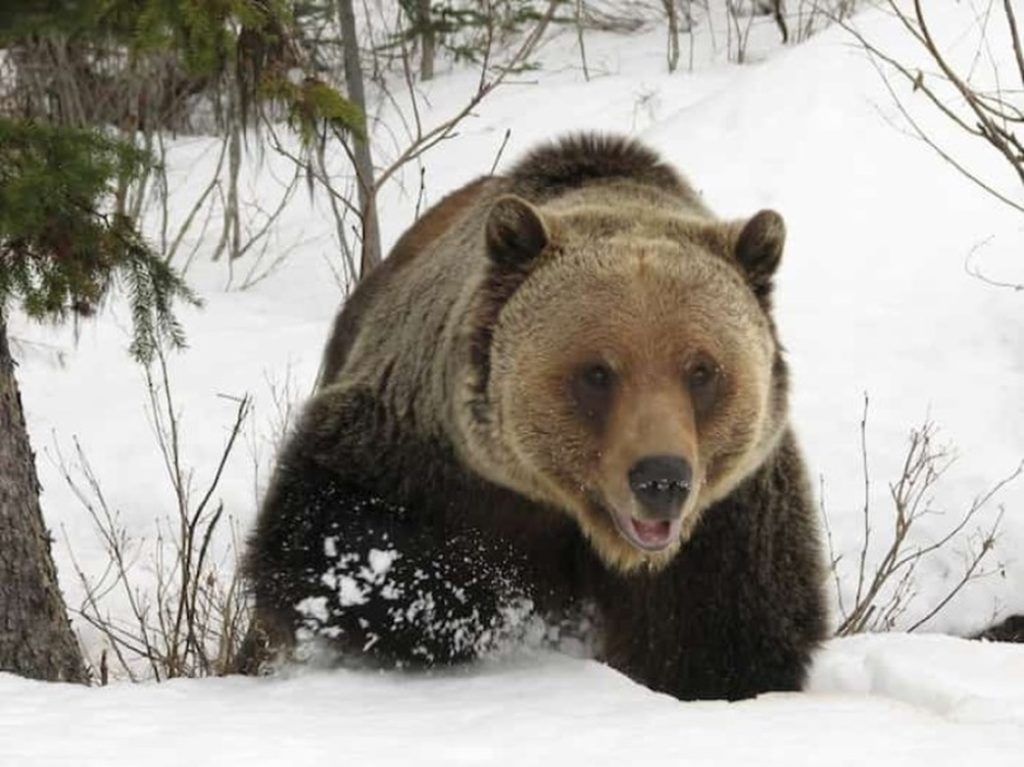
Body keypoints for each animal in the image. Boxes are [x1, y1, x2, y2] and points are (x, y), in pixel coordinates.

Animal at [243, 133, 827, 700]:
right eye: (597, 372)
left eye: (702, 370)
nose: (661, 479)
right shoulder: (424, 460)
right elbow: (353, 560)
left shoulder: (727, 524)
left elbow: (719, 640)